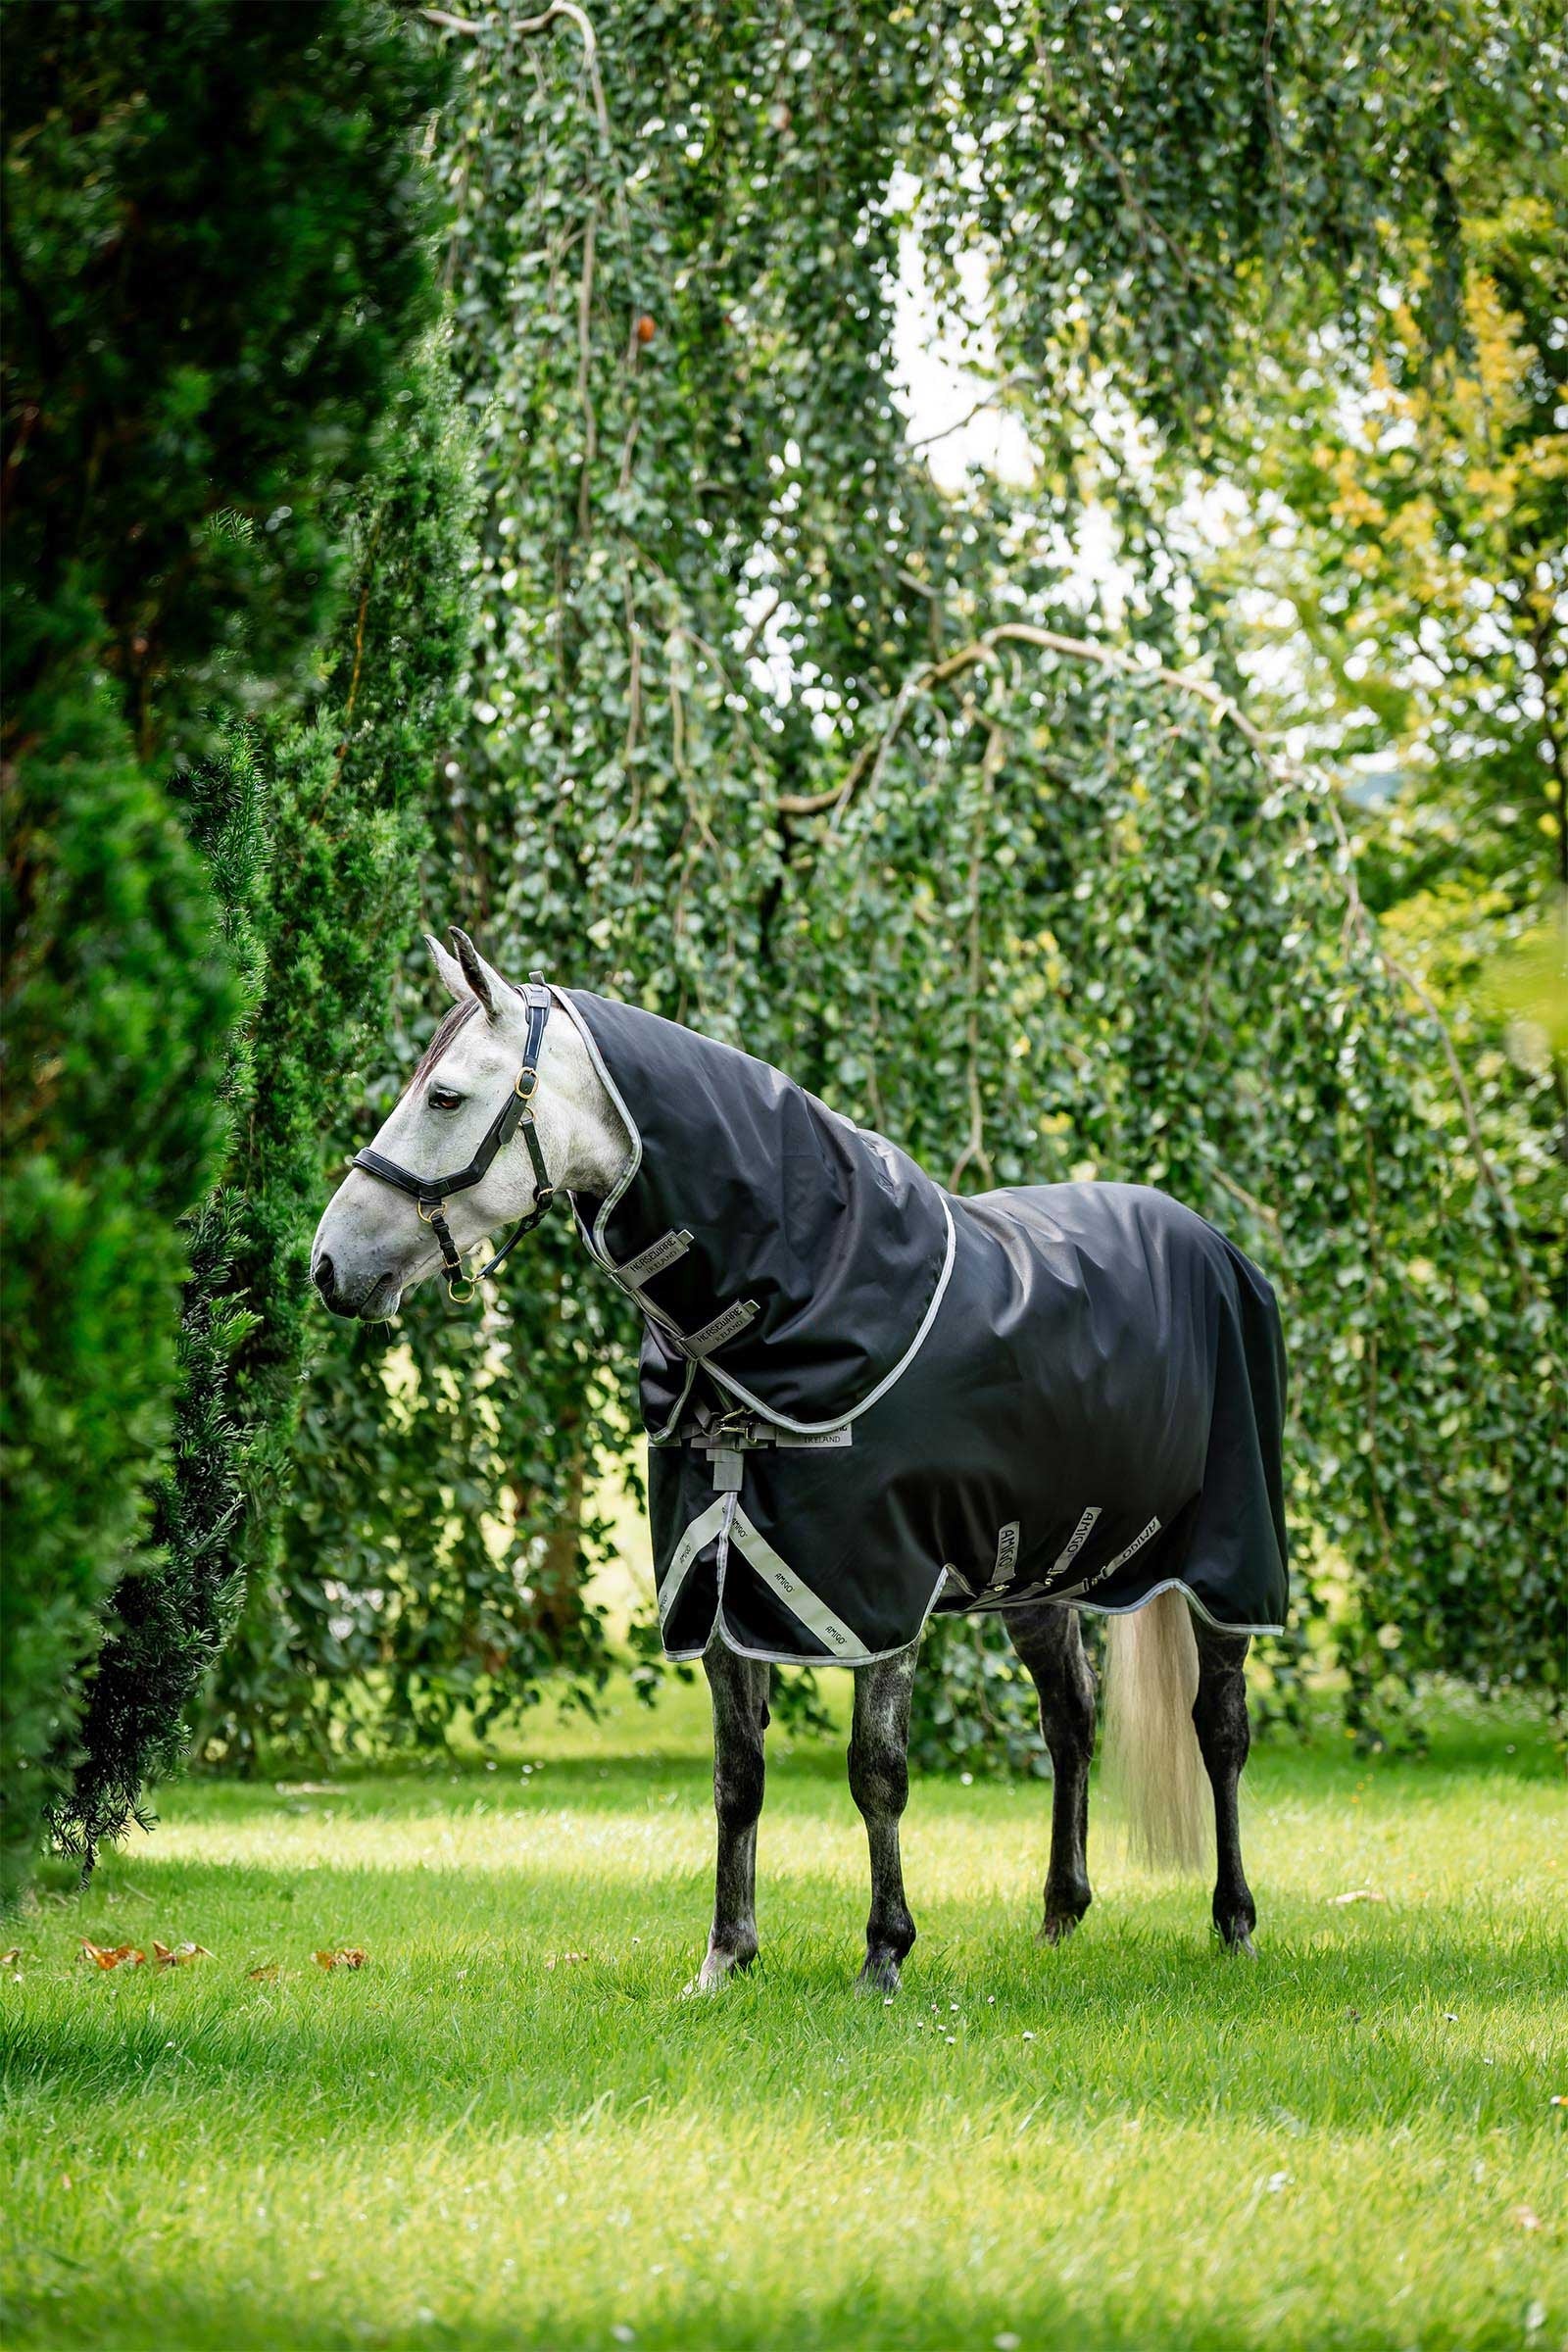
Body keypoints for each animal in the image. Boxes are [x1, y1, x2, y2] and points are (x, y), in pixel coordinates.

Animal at [312, 928, 1287, 1991]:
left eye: (445, 1097)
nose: (328, 1267)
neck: (796, 1296)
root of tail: (1215, 1246)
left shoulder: (877, 1595)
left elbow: (878, 1772)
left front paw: (884, 1954)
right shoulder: (716, 1580)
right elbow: (737, 1777)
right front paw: (724, 1959)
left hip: (1226, 1565)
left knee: (1221, 1729)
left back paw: (1235, 1920)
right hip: (1034, 1574)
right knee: (1069, 1719)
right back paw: (1060, 1917)